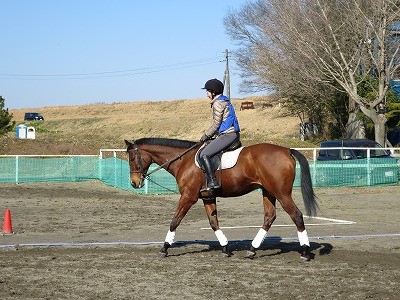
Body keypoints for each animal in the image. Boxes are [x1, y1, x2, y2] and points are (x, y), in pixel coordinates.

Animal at [125, 138, 318, 260]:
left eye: (132, 158)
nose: (134, 183)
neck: (184, 160)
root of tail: (286, 150)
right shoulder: (207, 197)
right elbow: (213, 223)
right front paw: (225, 248)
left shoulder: (188, 197)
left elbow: (175, 221)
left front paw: (164, 248)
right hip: (268, 192)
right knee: (269, 217)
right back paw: (252, 249)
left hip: (281, 193)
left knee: (296, 215)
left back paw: (305, 251)